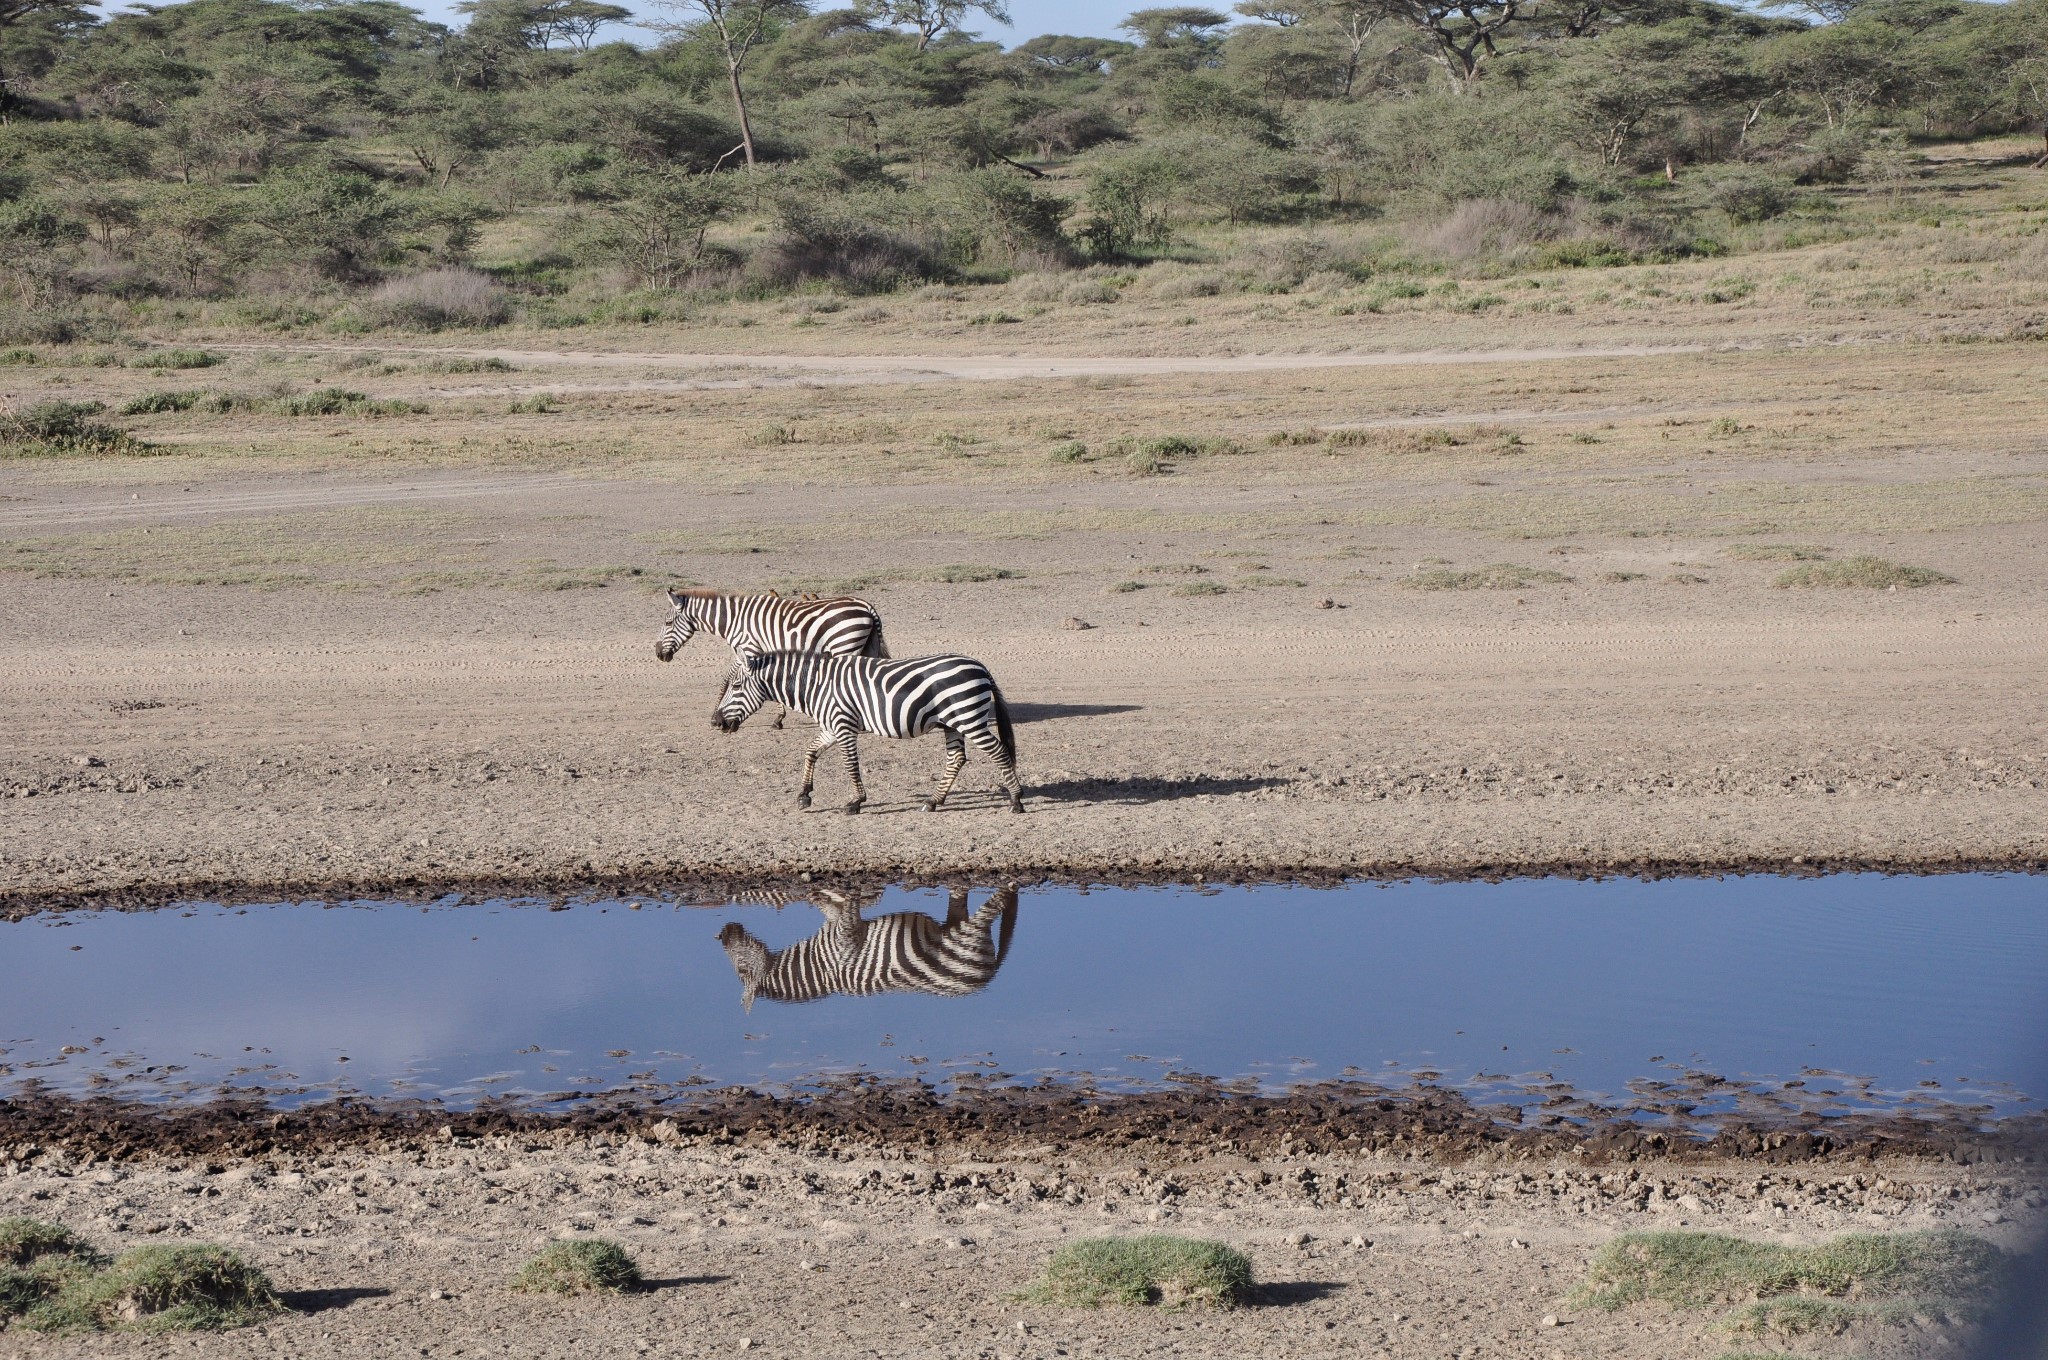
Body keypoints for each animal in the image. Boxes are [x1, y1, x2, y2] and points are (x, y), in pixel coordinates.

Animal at [651, 585, 884, 729]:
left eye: (668, 623)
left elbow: (731, 678)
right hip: (866, 647)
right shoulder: (749, 652)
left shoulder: (749, 648)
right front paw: (779, 718)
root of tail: (867, 606)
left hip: (845, 644)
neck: (733, 620)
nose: (659, 653)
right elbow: (735, 677)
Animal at [712, 651, 1024, 811]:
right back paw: (934, 801)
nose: (716, 722)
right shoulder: (831, 726)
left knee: (998, 751)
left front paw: (855, 801)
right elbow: (811, 752)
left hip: (969, 718)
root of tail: (980, 666)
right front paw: (804, 795)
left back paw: (1016, 799)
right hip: (953, 723)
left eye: (736, 687)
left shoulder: (843, 724)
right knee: (956, 759)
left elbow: (850, 764)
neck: (817, 685)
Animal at [720, 880, 1024, 1007]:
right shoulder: (839, 928)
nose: (722, 934)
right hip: (957, 926)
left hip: (968, 934)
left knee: (993, 906)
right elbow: (835, 907)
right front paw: (823, 896)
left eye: (741, 971)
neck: (819, 967)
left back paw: (1008, 887)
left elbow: (852, 904)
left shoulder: (846, 937)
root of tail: (988, 976)